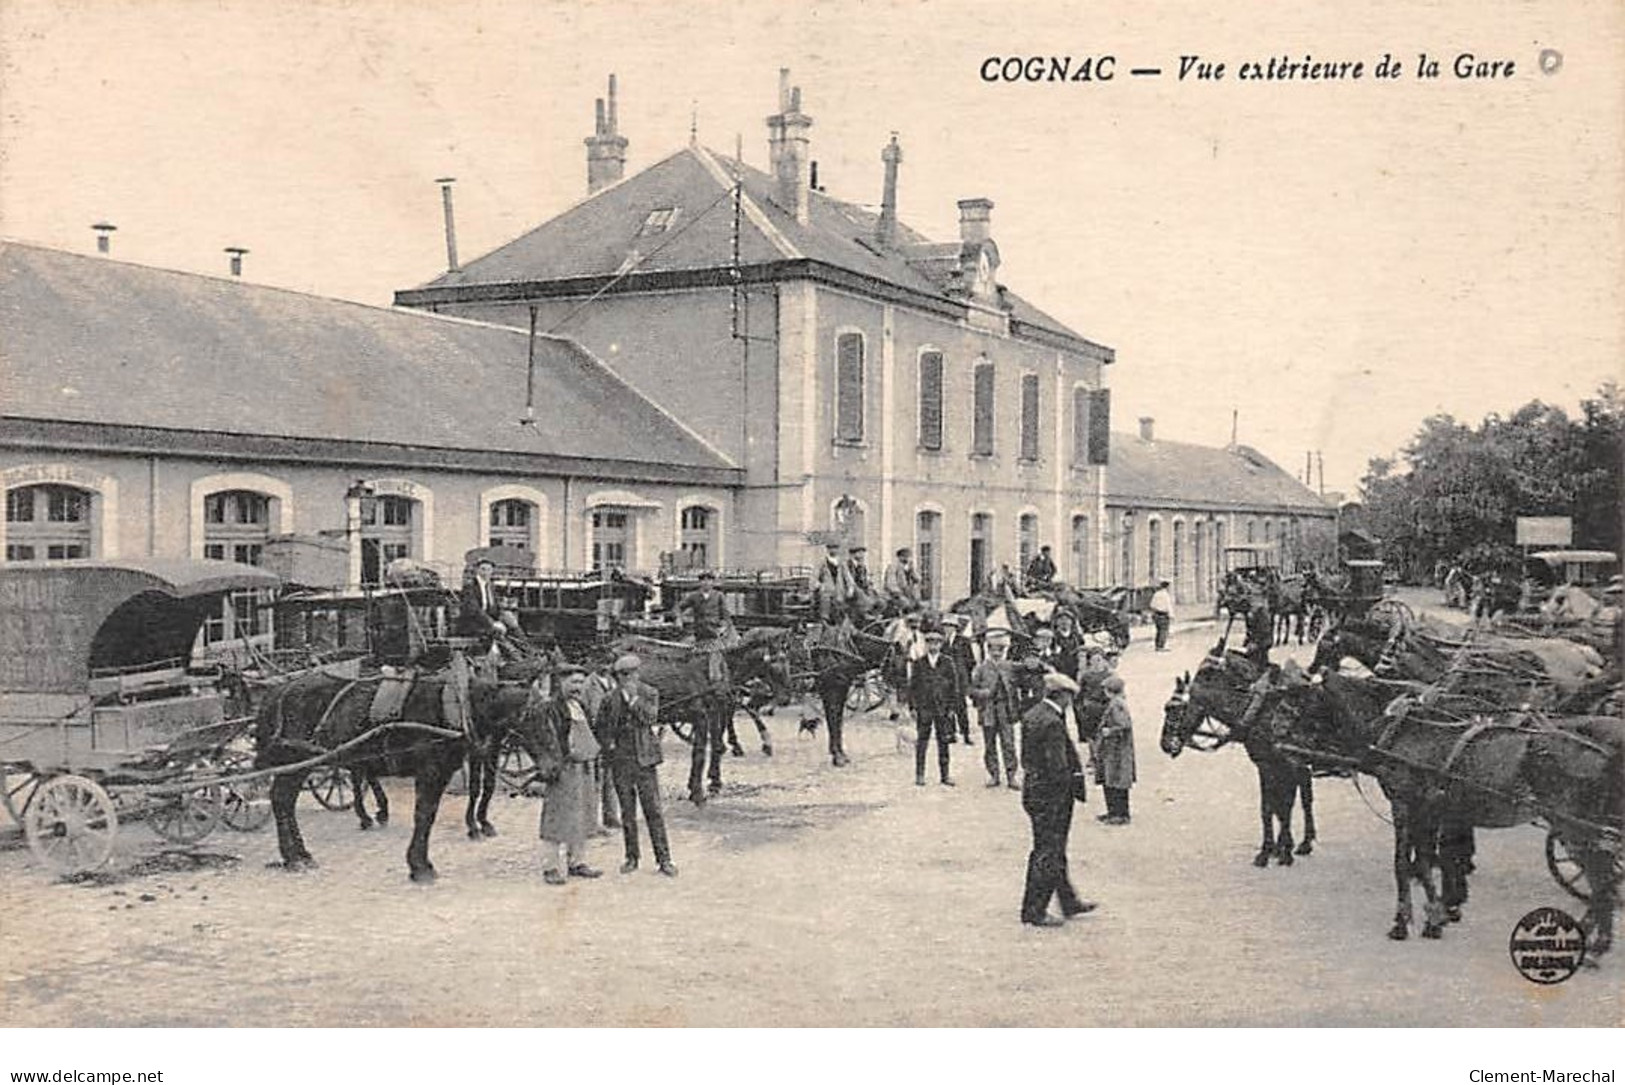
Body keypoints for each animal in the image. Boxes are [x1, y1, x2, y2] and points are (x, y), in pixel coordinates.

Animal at [253, 662, 555, 883]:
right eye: (534, 719)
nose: (552, 769)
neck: (457, 707)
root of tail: (282, 688)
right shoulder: (431, 772)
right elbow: (424, 816)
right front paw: (419, 866)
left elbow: (432, 813)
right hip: (296, 759)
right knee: (282, 800)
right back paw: (294, 857)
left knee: (285, 801)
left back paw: (300, 854)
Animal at [1157, 649, 1319, 870]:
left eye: (1172, 708)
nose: (1165, 744)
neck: (1260, 710)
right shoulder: (1266, 765)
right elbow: (1270, 808)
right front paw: (1273, 849)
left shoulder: (1286, 765)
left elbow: (1284, 806)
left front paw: (1282, 851)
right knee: (1305, 792)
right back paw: (1305, 841)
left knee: (1305, 796)